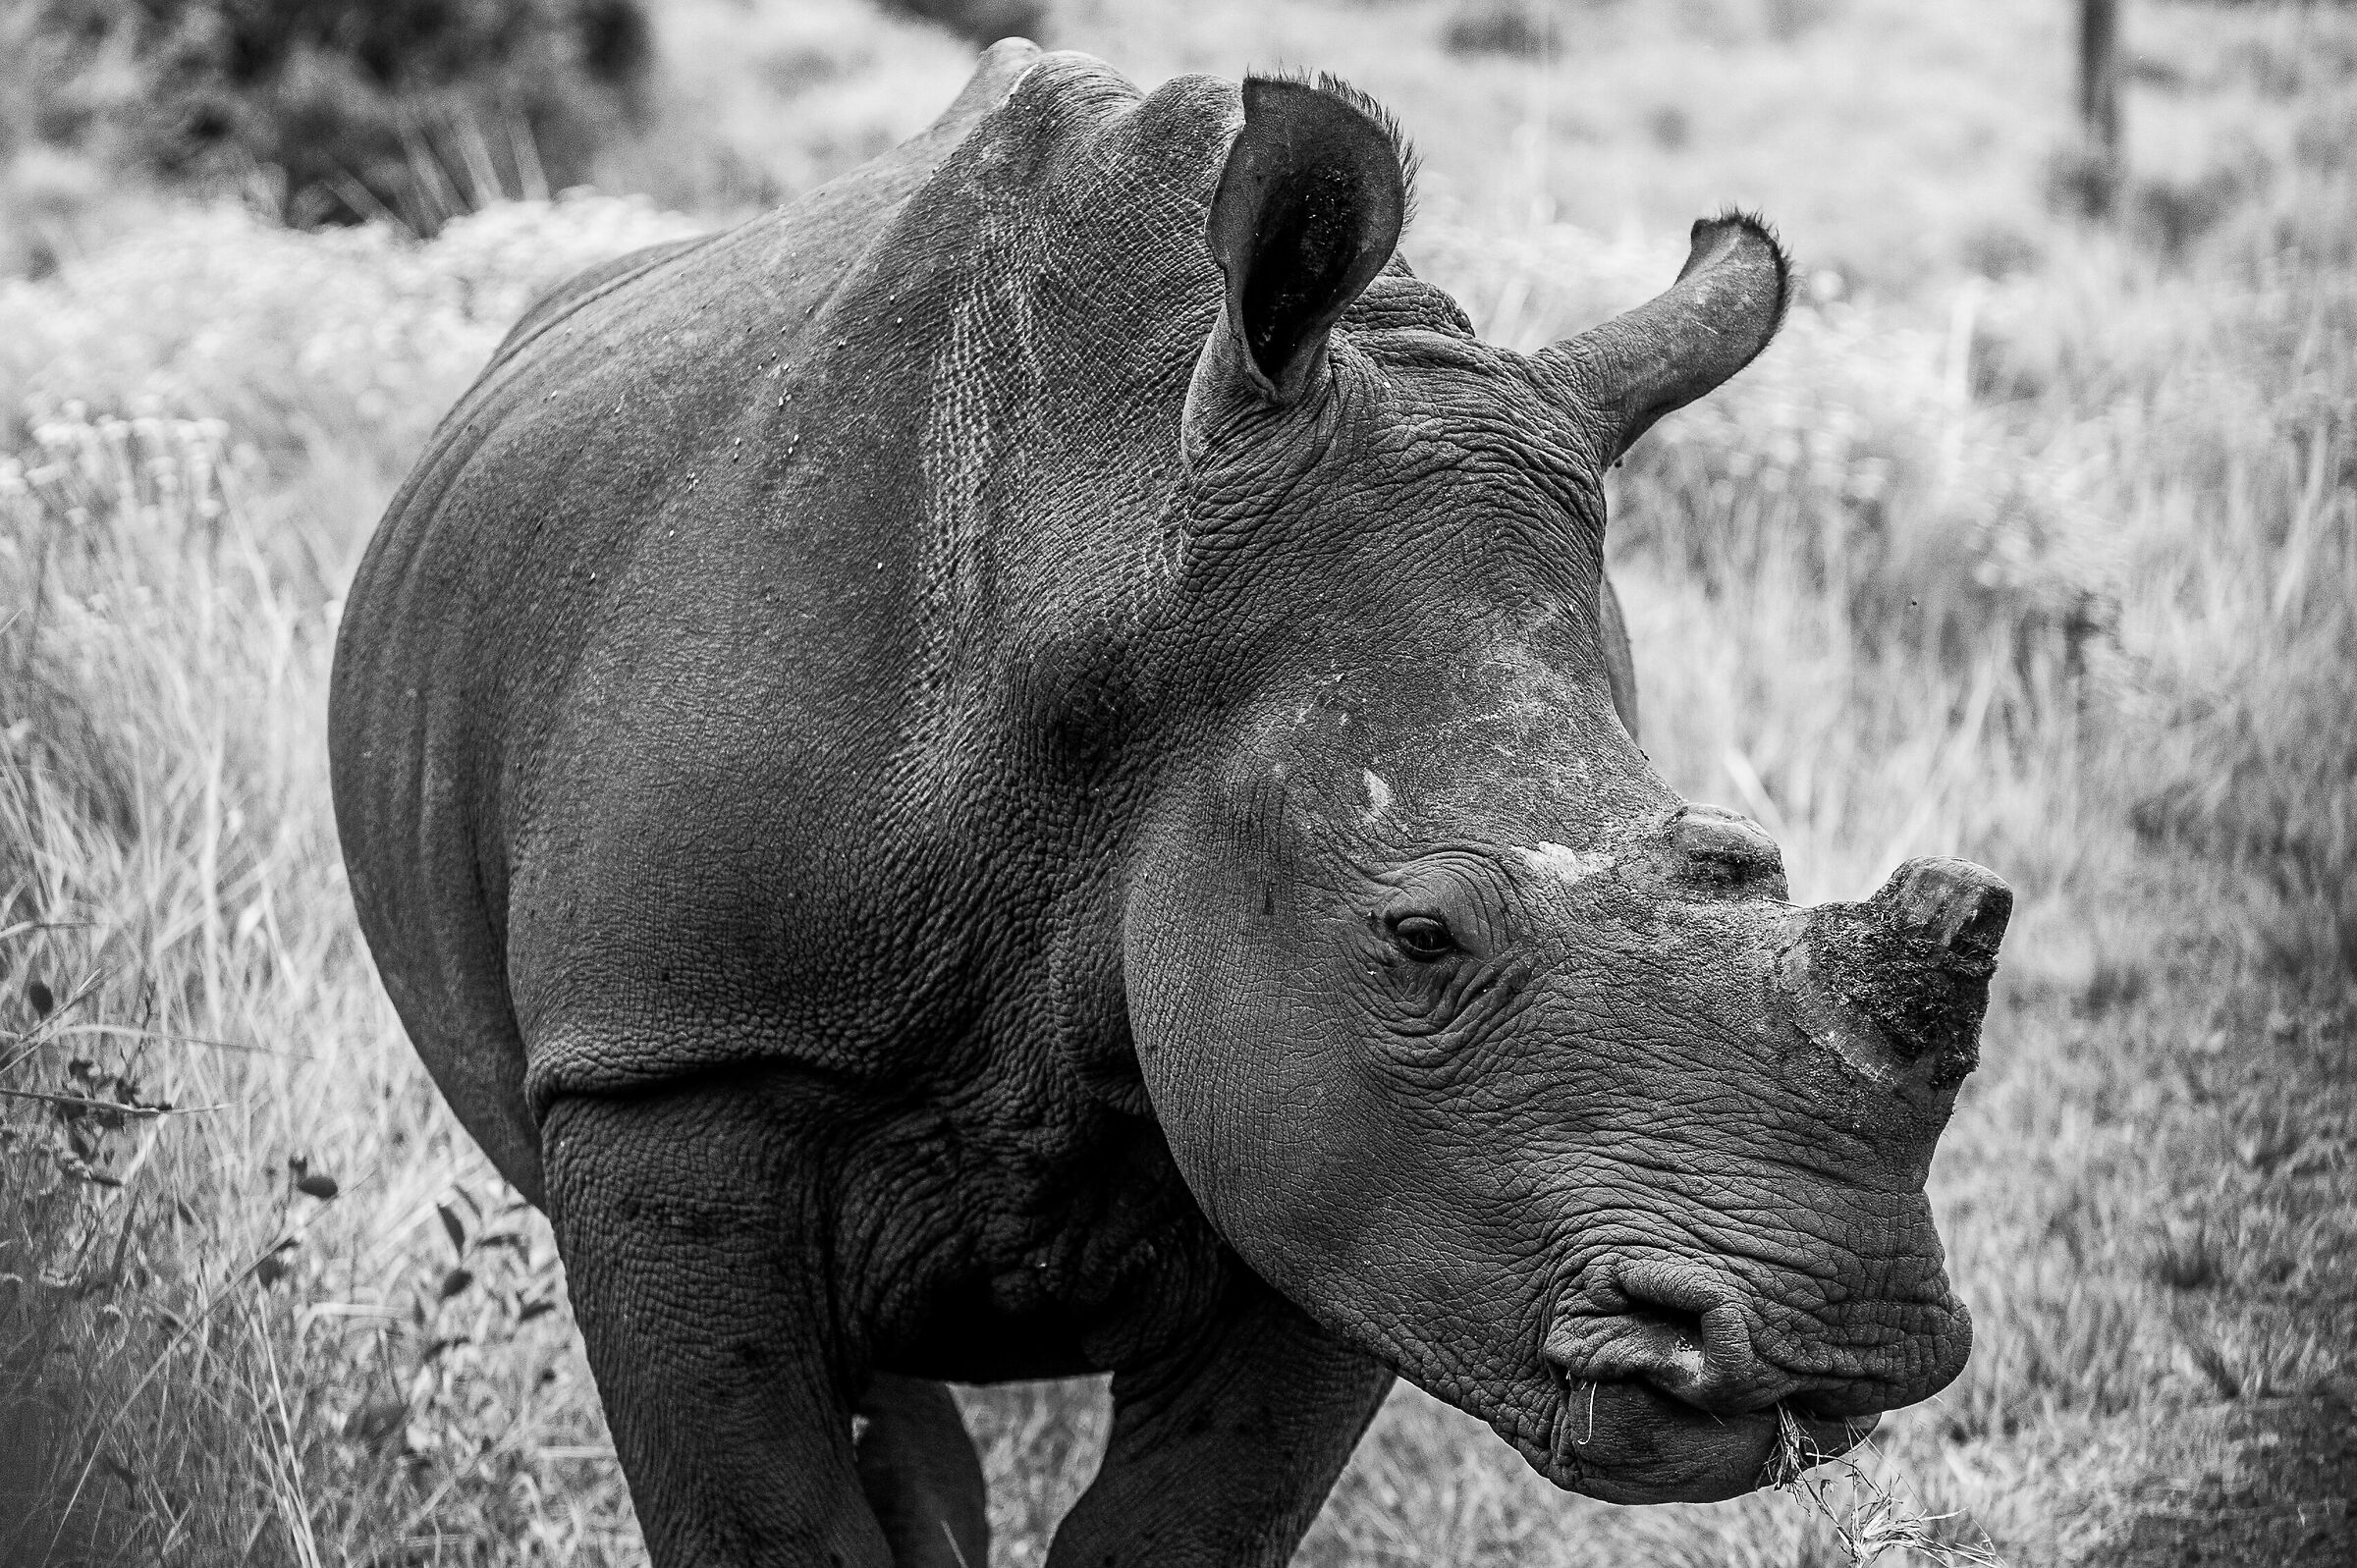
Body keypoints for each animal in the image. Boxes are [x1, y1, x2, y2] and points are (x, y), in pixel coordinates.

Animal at [330, 39, 2012, 1567]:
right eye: (1419, 937)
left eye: (1747, 862)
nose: (1832, 1339)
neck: (1117, 535)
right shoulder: (671, 1058)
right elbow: (763, 1520)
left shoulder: (1350, 1166)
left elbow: (1188, 1521)